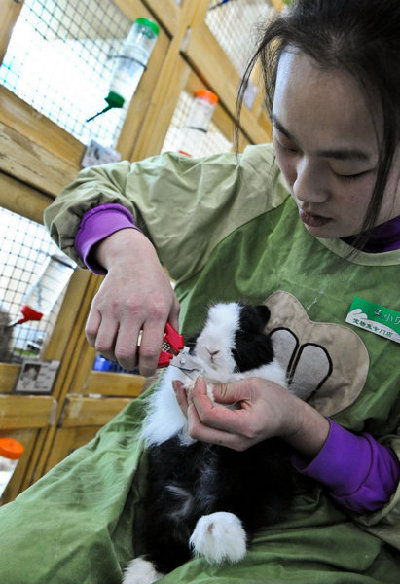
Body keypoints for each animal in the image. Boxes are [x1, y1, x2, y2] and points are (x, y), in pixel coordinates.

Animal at [123, 304, 296, 580]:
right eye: (205, 324)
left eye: (242, 332)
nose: (211, 348)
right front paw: (196, 383)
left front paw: (208, 389)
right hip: (167, 502)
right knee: (170, 544)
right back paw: (140, 573)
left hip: (245, 475)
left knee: (235, 514)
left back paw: (215, 532)